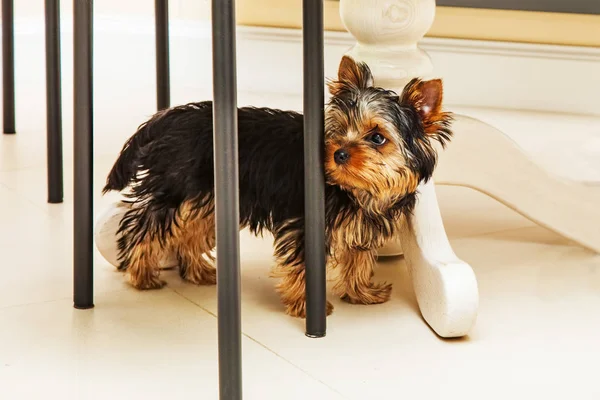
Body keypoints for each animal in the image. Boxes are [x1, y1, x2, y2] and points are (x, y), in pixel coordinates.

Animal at [102, 56, 450, 318]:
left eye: (377, 137)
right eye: (338, 129)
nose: (338, 153)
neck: (356, 190)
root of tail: (169, 117)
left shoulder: (361, 224)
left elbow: (358, 259)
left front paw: (361, 292)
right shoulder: (305, 224)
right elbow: (305, 265)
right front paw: (308, 307)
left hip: (208, 196)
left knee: (191, 230)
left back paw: (198, 272)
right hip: (178, 187)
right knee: (144, 225)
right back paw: (141, 275)